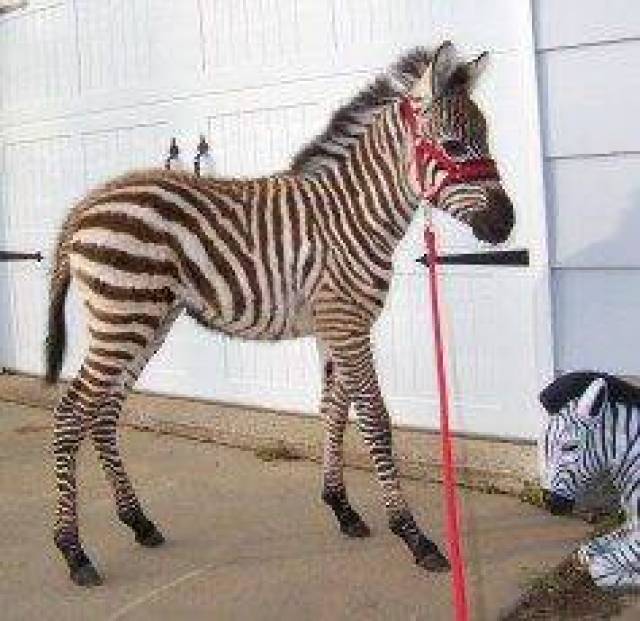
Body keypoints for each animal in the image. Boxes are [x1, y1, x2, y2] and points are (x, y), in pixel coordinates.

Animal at [44, 42, 514, 586]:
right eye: (455, 146)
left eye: (485, 139)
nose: (506, 224)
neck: (354, 217)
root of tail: (86, 204)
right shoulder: (349, 325)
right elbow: (375, 419)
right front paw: (414, 536)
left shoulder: (333, 326)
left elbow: (334, 411)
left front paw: (342, 508)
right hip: (123, 318)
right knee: (71, 413)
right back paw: (74, 551)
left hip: (147, 322)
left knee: (102, 412)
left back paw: (139, 522)